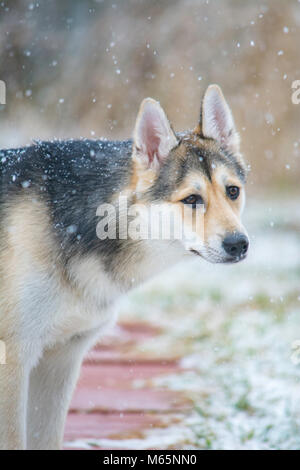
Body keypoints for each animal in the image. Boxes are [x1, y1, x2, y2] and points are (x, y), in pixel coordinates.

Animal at [0, 83, 248, 448]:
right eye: (191, 199)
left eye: (232, 191)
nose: (239, 244)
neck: (78, 228)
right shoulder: (14, 359)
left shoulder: (61, 360)